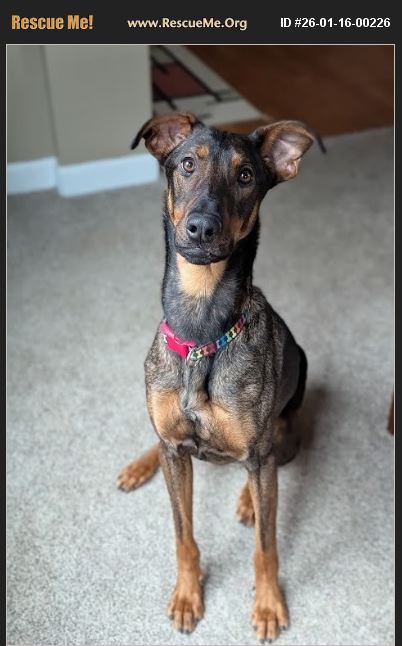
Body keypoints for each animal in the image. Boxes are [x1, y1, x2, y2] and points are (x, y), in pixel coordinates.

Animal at [117, 112, 317, 642]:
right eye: (187, 163)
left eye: (245, 175)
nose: (202, 227)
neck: (200, 326)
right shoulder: (175, 450)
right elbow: (183, 534)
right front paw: (188, 595)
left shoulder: (259, 453)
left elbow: (266, 546)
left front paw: (267, 604)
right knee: (161, 443)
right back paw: (138, 465)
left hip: (283, 432)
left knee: (269, 457)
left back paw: (248, 498)